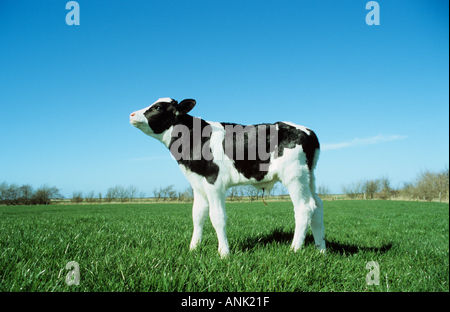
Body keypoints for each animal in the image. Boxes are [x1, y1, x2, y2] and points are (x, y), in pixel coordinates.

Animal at [128, 97, 326, 256]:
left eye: (158, 107)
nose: (131, 114)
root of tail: (308, 131)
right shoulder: (197, 183)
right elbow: (198, 215)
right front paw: (193, 248)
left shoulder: (214, 182)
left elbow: (217, 217)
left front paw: (224, 253)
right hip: (309, 177)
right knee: (317, 206)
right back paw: (321, 250)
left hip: (294, 176)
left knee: (304, 208)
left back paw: (294, 249)